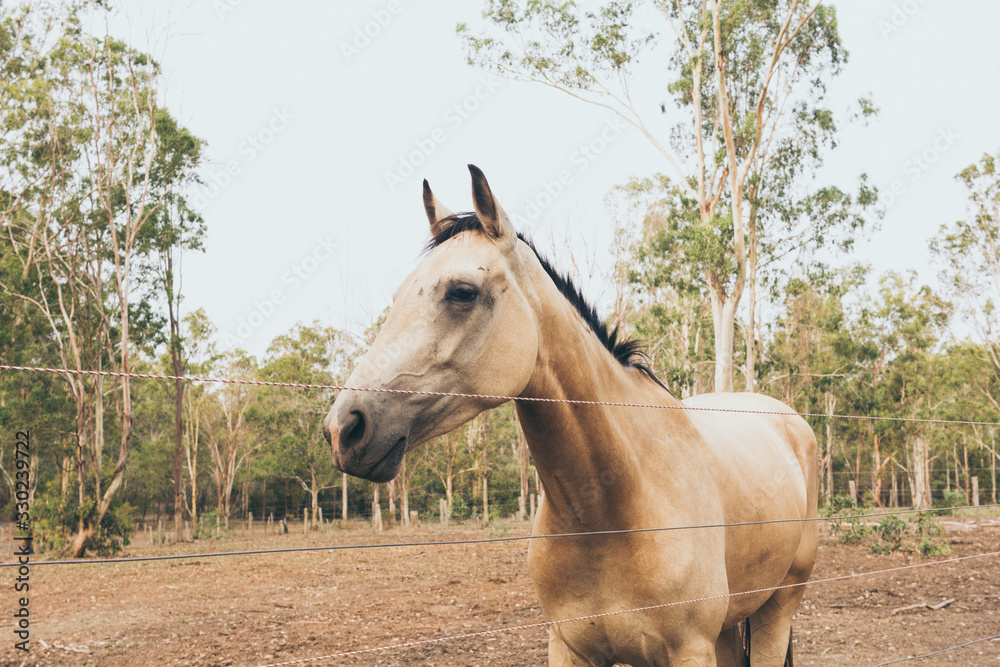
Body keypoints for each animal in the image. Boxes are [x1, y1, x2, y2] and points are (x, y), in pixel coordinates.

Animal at [322, 165, 817, 666]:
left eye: (462, 292)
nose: (344, 428)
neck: (617, 504)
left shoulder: (689, 650)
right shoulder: (569, 647)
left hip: (777, 608)